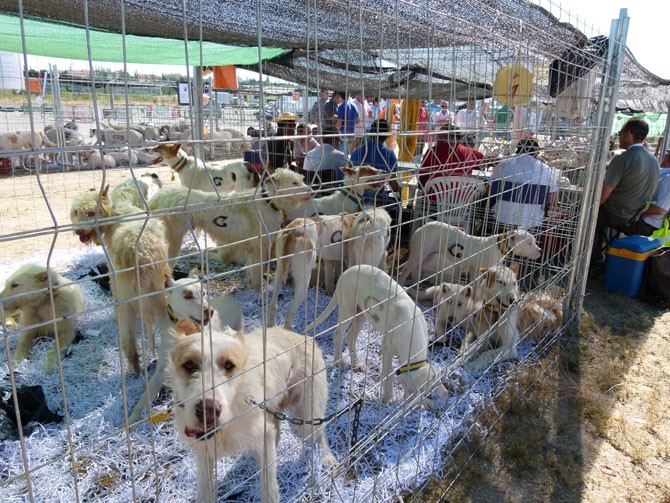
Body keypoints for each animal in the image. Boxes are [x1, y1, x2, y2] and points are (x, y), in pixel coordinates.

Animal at [70, 186, 172, 373]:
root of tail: (143, 254)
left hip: (127, 300)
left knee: (129, 340)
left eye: (90, 213)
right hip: (163, 296)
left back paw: (135, 367)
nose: (79, 231)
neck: (114, 214)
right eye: (76, 212)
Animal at [149, 169, 311, 289]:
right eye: (294, 182)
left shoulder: (254, 248)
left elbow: (252, 268)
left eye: (301, 179)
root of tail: (157, 197)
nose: (312, 191)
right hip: (173, 242)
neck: (267, 200)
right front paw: (258, 289)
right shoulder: (260, 246)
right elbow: (258, 269)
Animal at [168, 322, 335, 503]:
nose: (208, 410)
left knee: (319, 429)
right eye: (189, 365)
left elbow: (269, 488)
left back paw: (327, 457)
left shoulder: (263, 435)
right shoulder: (203, 452)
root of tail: (303, 336)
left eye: (229, 365)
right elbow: (204, 491)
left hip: (307, 413)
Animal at [306, 264, 449, 409]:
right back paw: (339, 363)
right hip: (348, 308)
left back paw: (357, 363)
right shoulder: (387, 346)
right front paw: (389, 397)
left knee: (351, 336)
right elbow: (388, 372)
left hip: (361, 313)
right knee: (338, 333)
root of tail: (346, 272)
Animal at [398, 222, 541, 285]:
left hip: (429, 255)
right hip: (418, 254)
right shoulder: (476, 271)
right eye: (529, 243)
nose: (540, 250)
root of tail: (421, 227)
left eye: (534, 241)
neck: (499, 246)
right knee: (405, 271)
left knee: (415, 271)